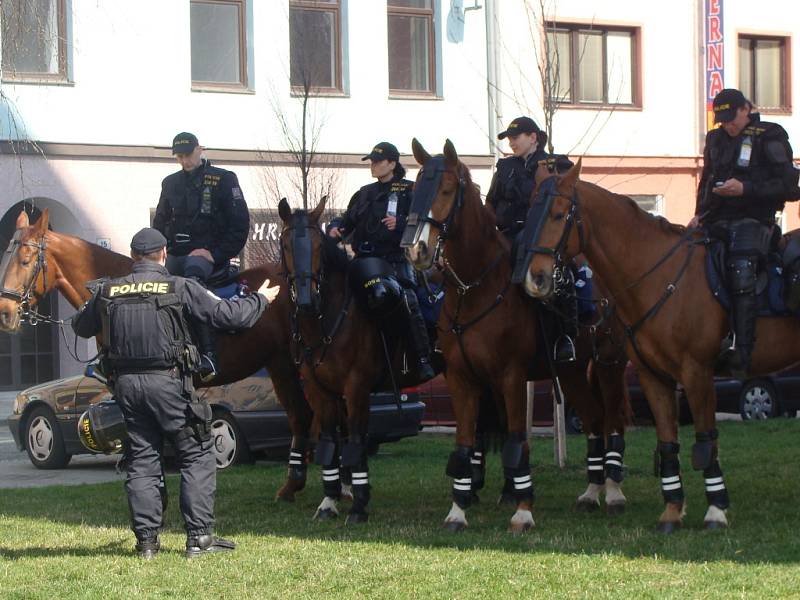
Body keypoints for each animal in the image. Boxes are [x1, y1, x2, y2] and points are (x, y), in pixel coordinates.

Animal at [0, 210, 312, 502]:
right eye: (5, 258)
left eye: (25, 260)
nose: (5, 312)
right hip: (279, 365)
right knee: (300, 416)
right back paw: (292, 485)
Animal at [404, 139, 628, 528]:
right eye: (416, 188)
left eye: (446, 190)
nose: (417, 249)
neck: (474, 289)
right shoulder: (462, 380)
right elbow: (465, 445)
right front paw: (457, 511)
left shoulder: (510, 377)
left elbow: (516, 442)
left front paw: (523, 511)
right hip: (571, 372)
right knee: (594, 420)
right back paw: (591, 492)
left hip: (609, 366)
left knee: (612, 422)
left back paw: (613, 492)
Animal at [516, 159, 800, 528]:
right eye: (529, 214)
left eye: (559, 214)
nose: (533, 278)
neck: (657, 278)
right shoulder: (654, 377)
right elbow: (667, 441)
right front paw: (672, 510)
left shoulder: (696, 374)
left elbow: (706, 439)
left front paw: (716, 509)